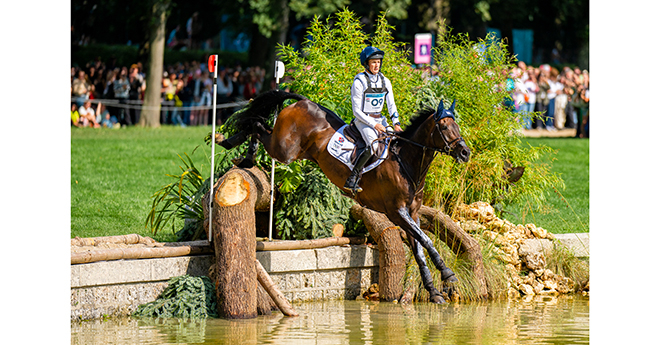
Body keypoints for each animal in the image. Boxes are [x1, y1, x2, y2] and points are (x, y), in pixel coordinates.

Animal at [219, 89, 472, 304]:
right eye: (445, 128)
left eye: (457, 126)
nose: (465, 153)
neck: (406, 162)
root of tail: (303, 102)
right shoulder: (397, 212)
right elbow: (427, 240)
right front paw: (448, 274)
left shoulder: (413, 214)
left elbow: (419, 249)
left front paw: (434, 291)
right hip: (284, 151)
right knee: (257, 125)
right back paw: (238, 150)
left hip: (295, 151)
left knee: (260, 126)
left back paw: (239, 150)